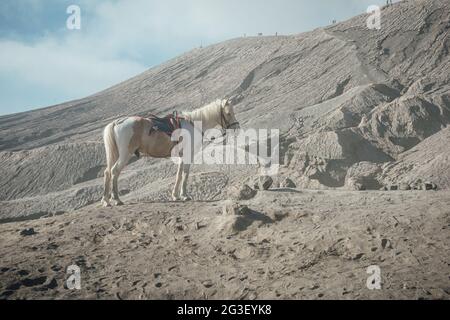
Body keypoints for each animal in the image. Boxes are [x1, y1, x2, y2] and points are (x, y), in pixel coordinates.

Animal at [99, 98, 239, 208]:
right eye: (228, 113)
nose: (236, 127)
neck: (194, 125)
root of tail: (117, 122)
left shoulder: (181, 157)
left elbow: (179, 174)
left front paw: (175, 196)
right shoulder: (188, 155)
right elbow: (185, 174)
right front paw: (184, 195)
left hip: (115, 154)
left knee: (107, 172)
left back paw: (106, 201)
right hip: (125, 154)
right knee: (114, 171)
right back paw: (116, 199)